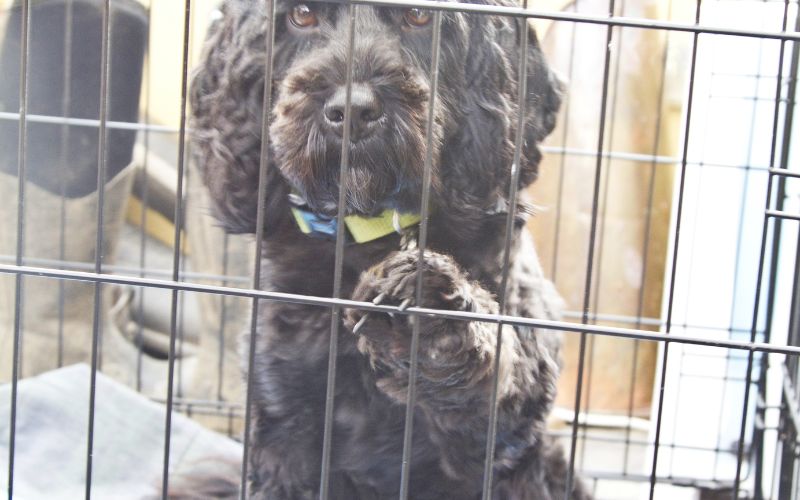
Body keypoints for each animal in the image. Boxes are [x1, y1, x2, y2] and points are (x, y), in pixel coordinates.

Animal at [186, 1, 588, 498]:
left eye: (418, 16)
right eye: (301, 15)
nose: (352, 110)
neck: (371, 226)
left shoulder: (508, 435)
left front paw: (429, 314)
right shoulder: (281, 429)